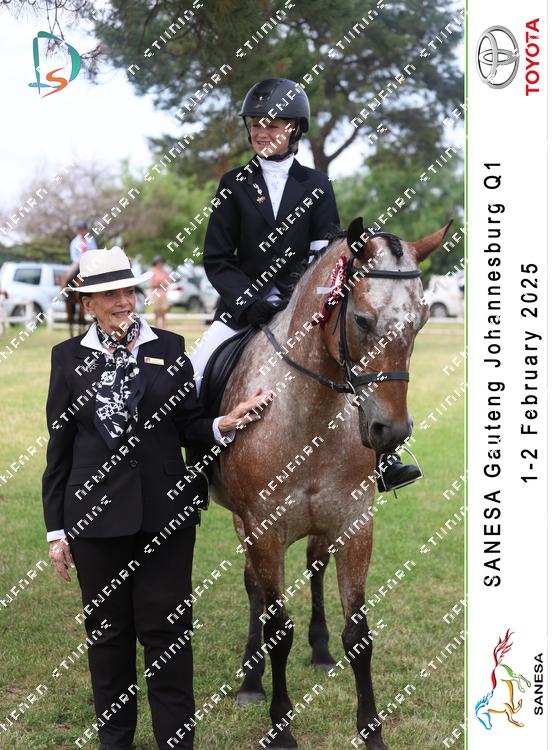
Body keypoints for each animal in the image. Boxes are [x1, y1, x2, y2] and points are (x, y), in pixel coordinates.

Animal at [211, 216, 451, 749]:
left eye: (421, 322)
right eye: (360, 320)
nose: (390, 432)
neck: (309, 414)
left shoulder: (355, 524)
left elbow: (359, 635)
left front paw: (372, 732)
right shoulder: (263, 529)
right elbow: (277, 627)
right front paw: (281, 728)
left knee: (315, 566)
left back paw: (320, 653)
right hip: (244, 525)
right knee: (254, 589)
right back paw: (251, 680)